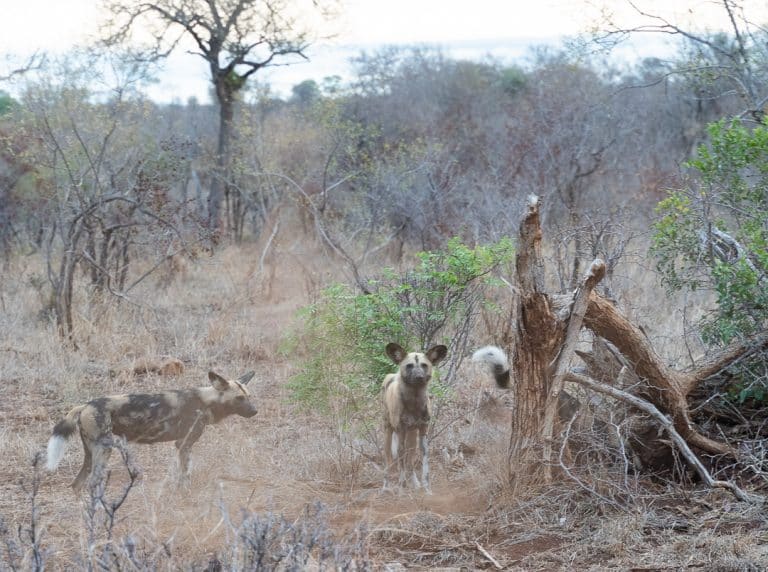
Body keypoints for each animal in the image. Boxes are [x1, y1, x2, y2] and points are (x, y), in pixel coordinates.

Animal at [46, 370, 256, 492]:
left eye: (249, 396)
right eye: (239, 398)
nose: (255, 411)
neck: (206, 400)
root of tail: (86, 405)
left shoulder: (181, 445)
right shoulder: (184, 444)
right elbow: (185, 474)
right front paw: (185, 493)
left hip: (90, 453)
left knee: (77, 485)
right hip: (104, 449)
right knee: (91, 484)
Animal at [380, 342, 448, 494]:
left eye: (424, 365)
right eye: (409, 366)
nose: (419, 377)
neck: (414, 401)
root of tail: (392, 375)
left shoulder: (423, 431)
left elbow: (425, 466)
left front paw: (427, 490)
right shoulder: (401, 431)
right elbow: (401, 463)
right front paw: (401, 489)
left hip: (412, 436)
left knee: (410, 462)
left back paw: (415, 484)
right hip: (388, 432)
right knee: (389, 461)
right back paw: (386, 487)